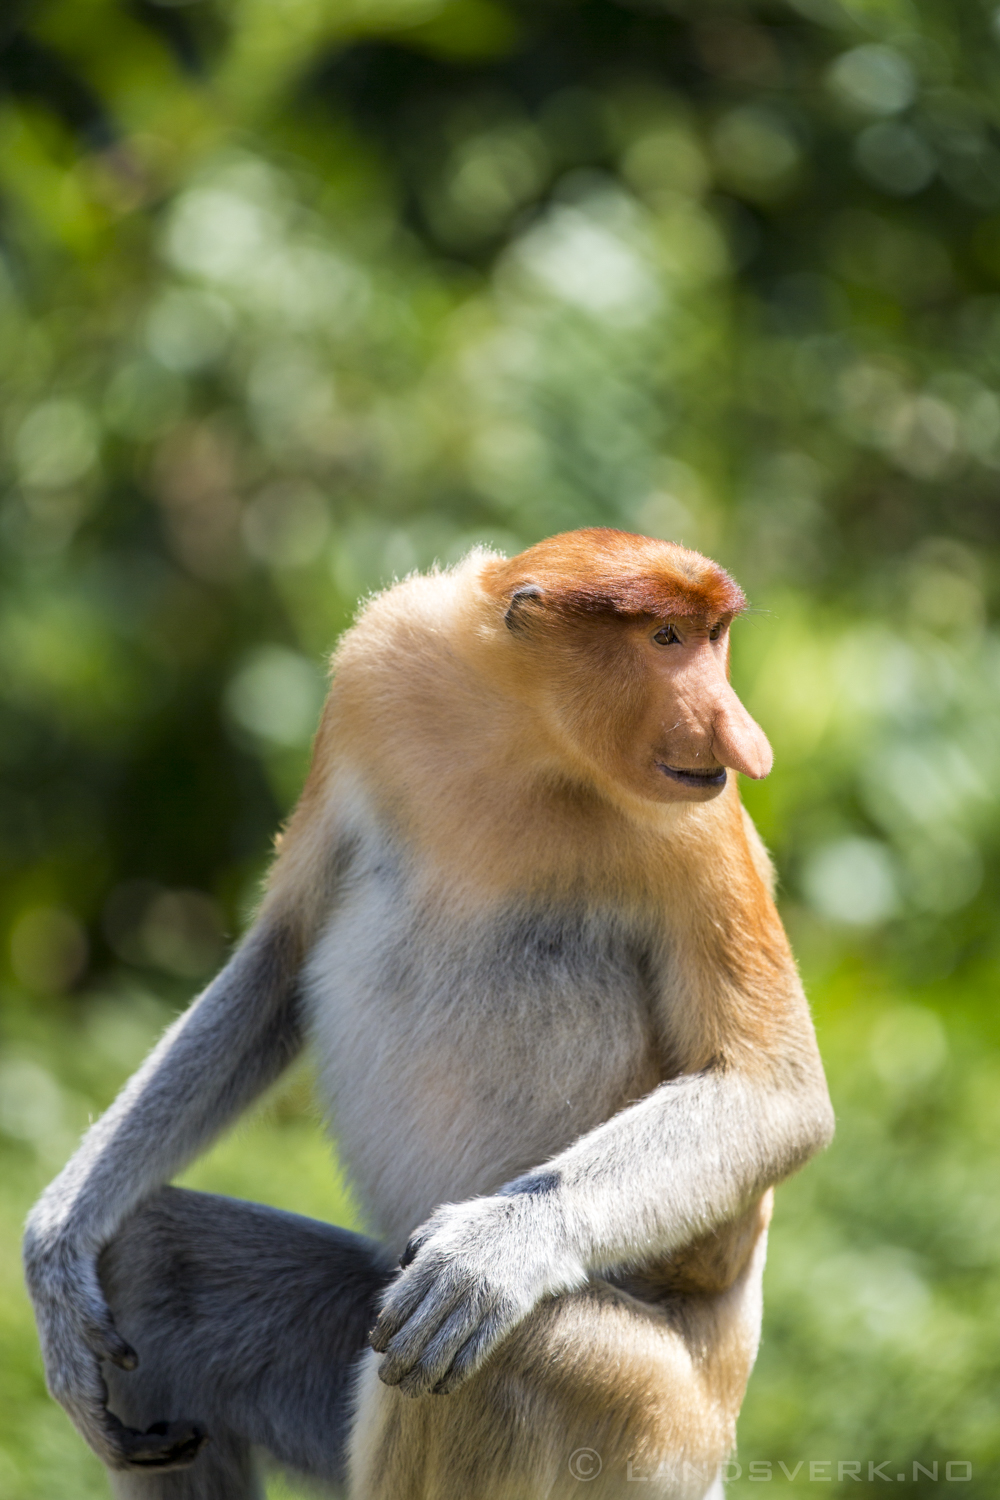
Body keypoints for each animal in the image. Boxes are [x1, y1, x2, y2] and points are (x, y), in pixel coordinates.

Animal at [25, 531, 839, 1500]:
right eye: (669, 638)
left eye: (713, 640)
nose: (743, 740)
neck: (526, 733)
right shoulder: (373, 680)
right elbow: (280, 954)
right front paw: (58, 1245)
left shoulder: (700, 824)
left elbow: (775, 1093)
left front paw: (497, 1253)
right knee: (157, 1261)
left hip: (651, 1431)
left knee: (515, 1349)